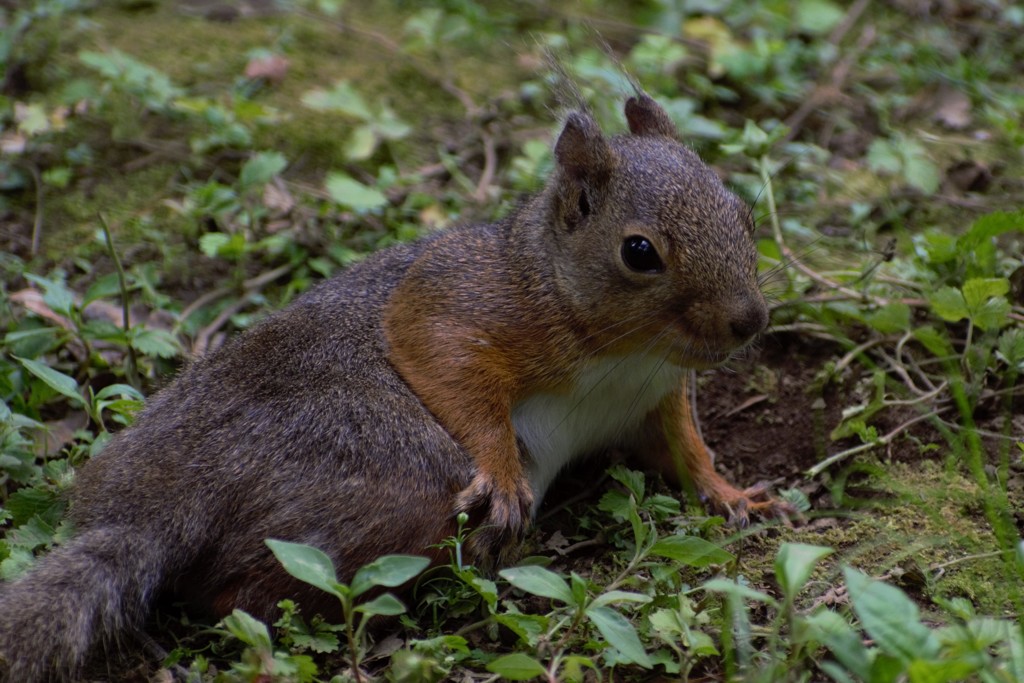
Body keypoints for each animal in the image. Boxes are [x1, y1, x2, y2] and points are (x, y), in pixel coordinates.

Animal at [0, 93, 790, 679]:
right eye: (639, 252)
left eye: (743, 212)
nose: (751, 321)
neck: (625, 355)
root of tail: (152, 506)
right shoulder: (465, 300)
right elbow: (444, 356)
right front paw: (504, 476)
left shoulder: (654, 398)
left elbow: (686, 451)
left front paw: (733, 494)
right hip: (405, 482)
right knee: (237, 594)